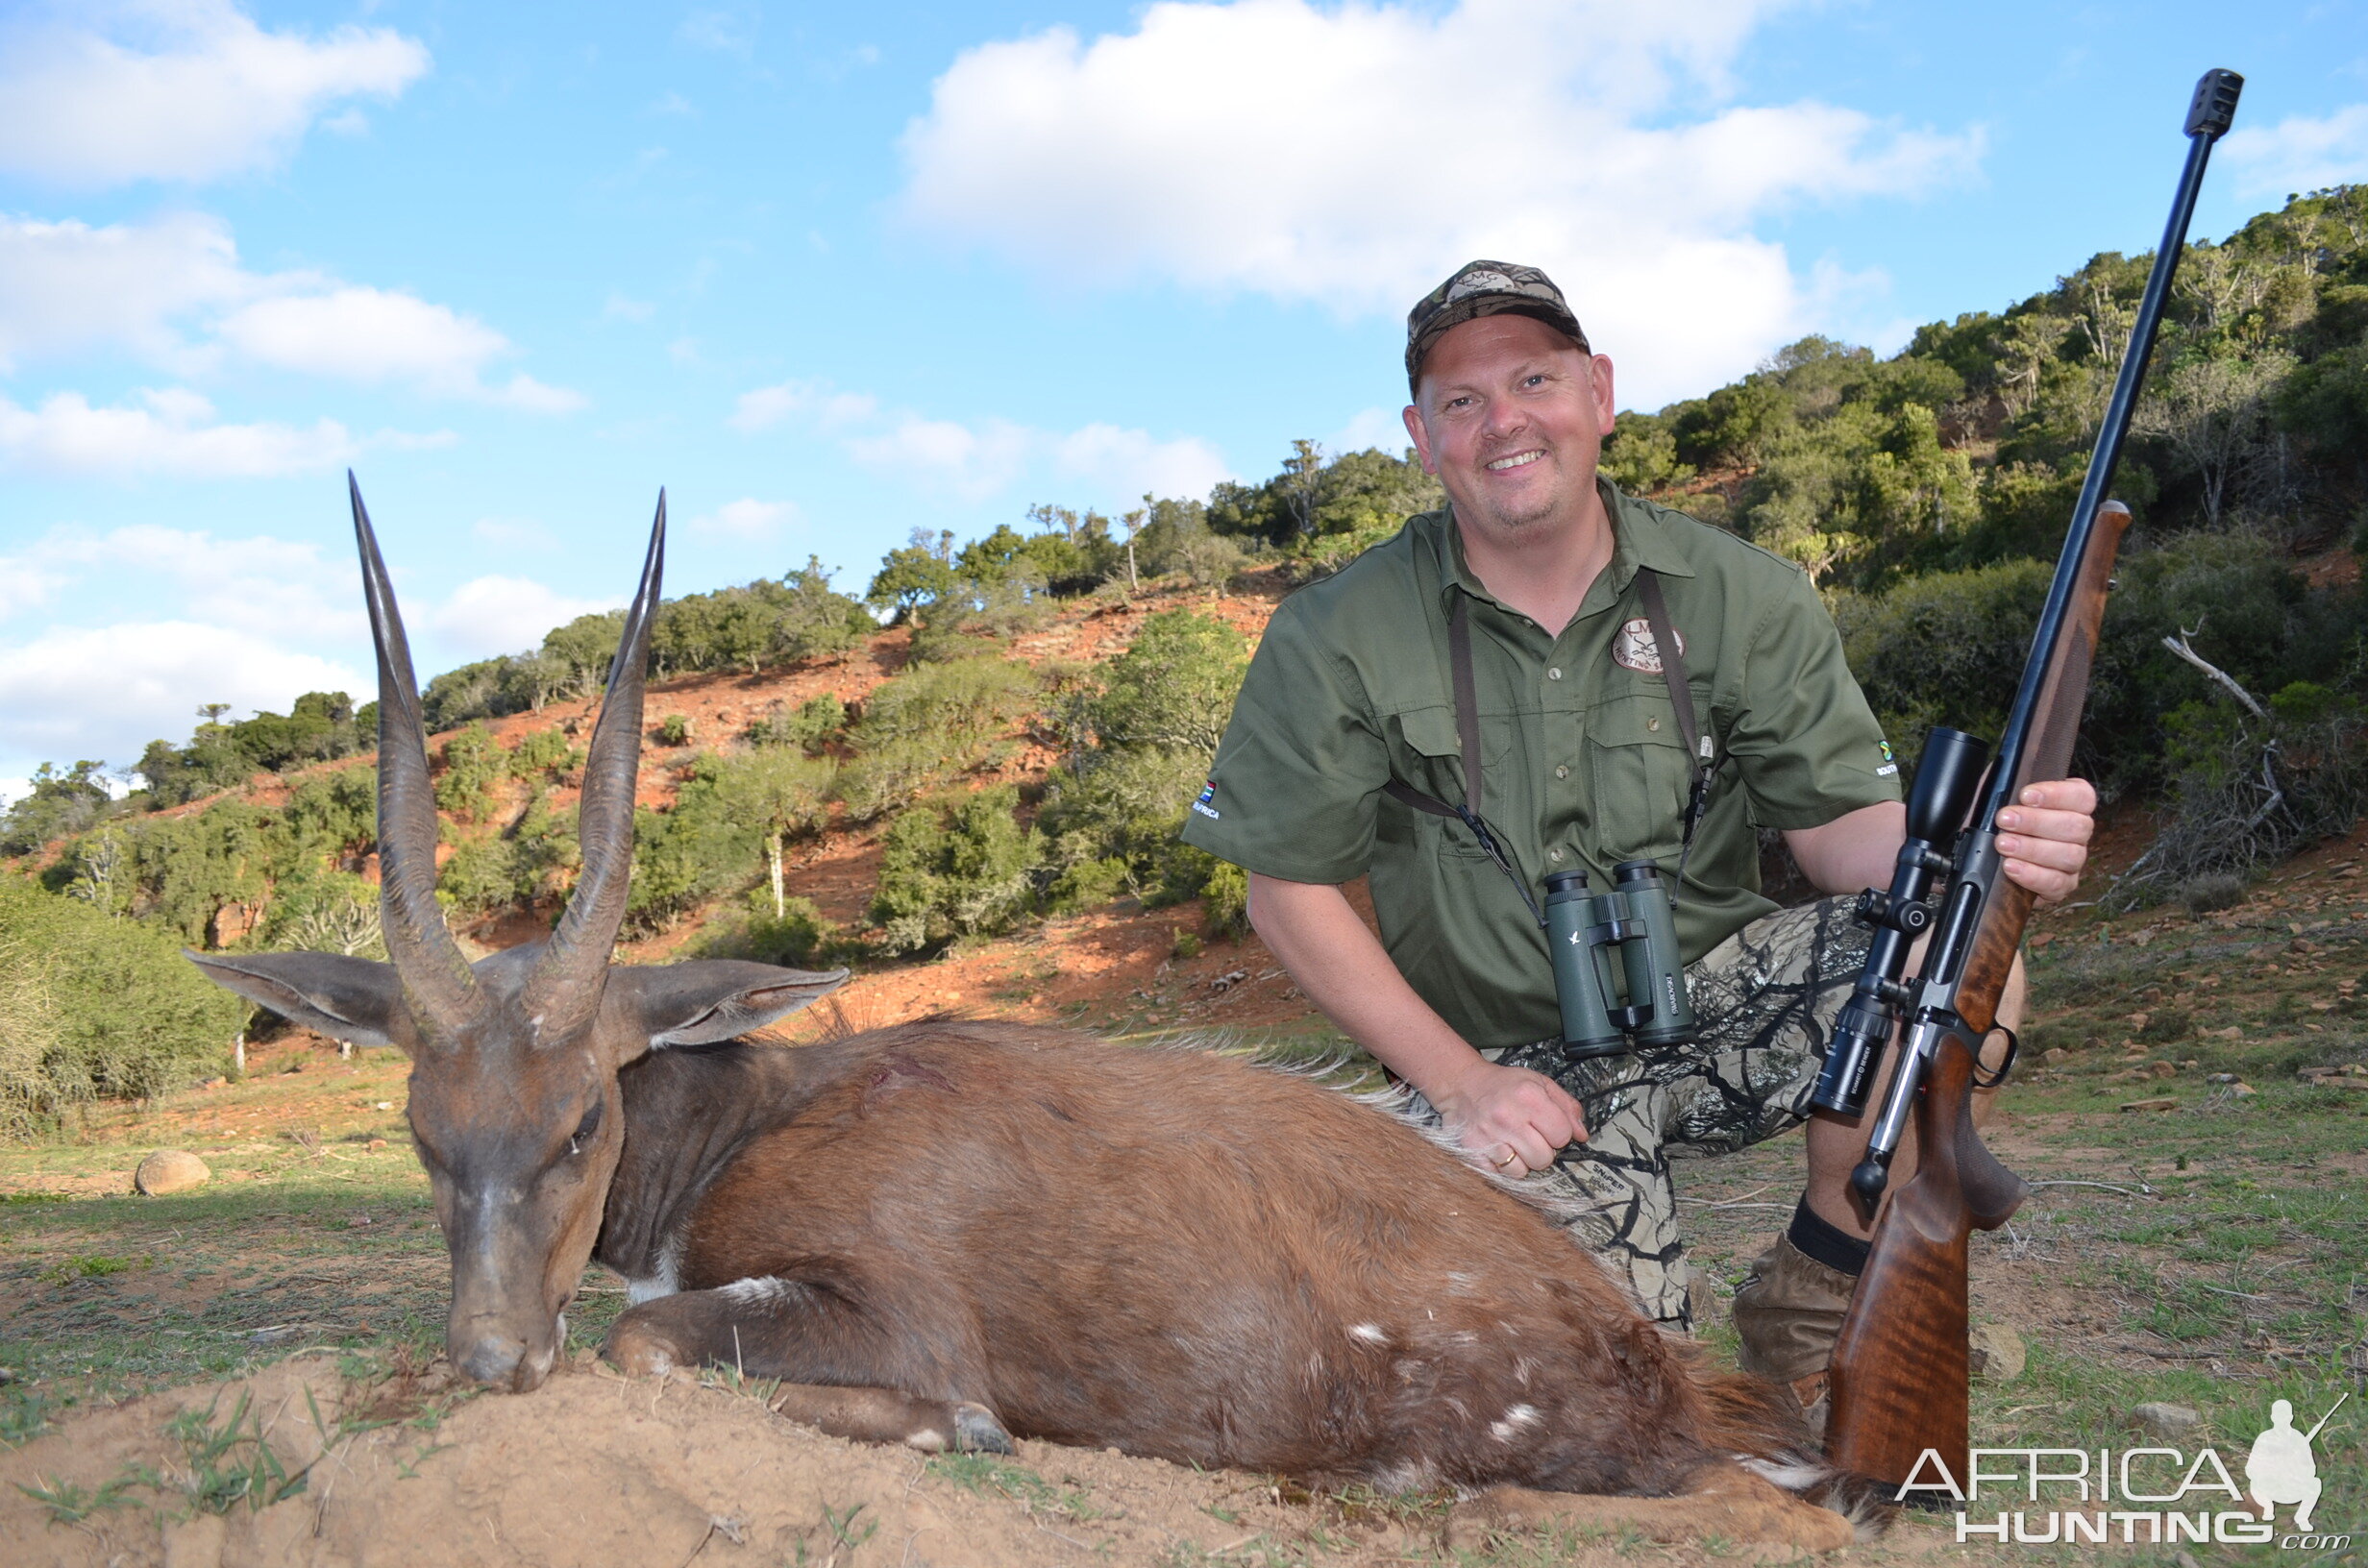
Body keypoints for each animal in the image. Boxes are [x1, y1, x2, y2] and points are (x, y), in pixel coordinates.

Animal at [189, 485, 1865, 1554]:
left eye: (584, 1115)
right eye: (420, 1129)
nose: (490, 1356)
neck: (748, 1122)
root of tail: (1660, 1364)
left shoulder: (889, 1307)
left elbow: (654, 1343)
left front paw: (974, 1434)